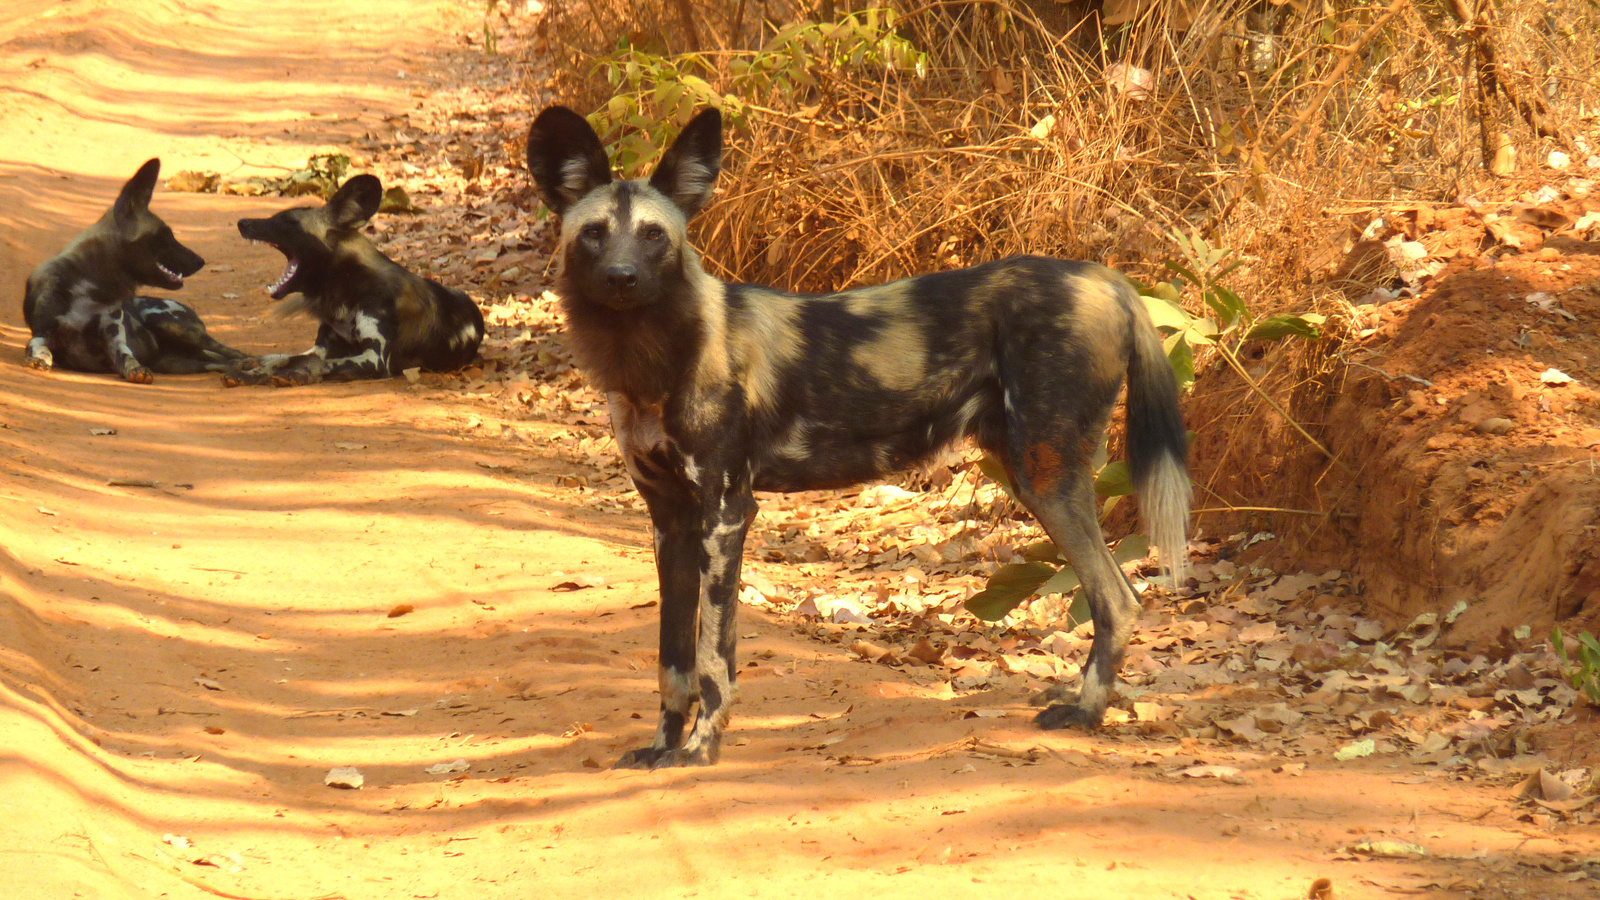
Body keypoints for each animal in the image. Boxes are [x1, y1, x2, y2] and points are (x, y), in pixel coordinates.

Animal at [22, 158, 249, 381]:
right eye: (165, 235)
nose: (200, 261)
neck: (90, 288)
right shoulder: (41, 332)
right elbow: (38, 347)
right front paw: (39, 358)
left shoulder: (114, 339)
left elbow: (127, 357)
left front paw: (136, 369)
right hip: (180, 362)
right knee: (225, 361)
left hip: (170, 325)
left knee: (239, 355)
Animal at [228, 173, 483, 384]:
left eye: (290, 222)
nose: (243, 222)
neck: (346, 288)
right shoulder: (321, 346)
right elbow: (286, 358)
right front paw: (255, 372)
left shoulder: (375, 358)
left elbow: (322, 363)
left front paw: (300, 373)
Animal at [524, 103, 1190, 762]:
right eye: (594, 232)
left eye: (654, 235)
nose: (622, 277)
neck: (653, 358)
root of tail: (1107, 279)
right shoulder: (670, 521)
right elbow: (673, 662)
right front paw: (662, 747)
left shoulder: (725, 513)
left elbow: (714, 659)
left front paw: (700, 750)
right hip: (1032, 473)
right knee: (1114, 597)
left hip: (1046, 477)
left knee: (1118, 599)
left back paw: (1084, 713)